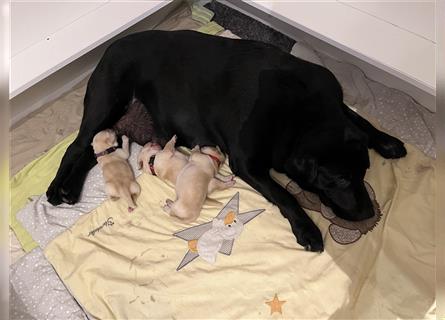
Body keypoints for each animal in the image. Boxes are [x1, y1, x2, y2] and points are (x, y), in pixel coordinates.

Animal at [46, 31, 406, 254]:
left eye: (364, 172)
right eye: (339, 179)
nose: (367, 213)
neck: (302, 114)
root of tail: (112, 46)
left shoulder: (334, 103)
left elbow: (360, 120)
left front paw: (388, 142)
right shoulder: (246, 162)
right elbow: (286, 195)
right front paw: (307, 229)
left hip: (114, 122)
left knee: (94, 151)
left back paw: (71, 189)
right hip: (106, 103)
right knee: (76, 147)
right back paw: (56, 190)